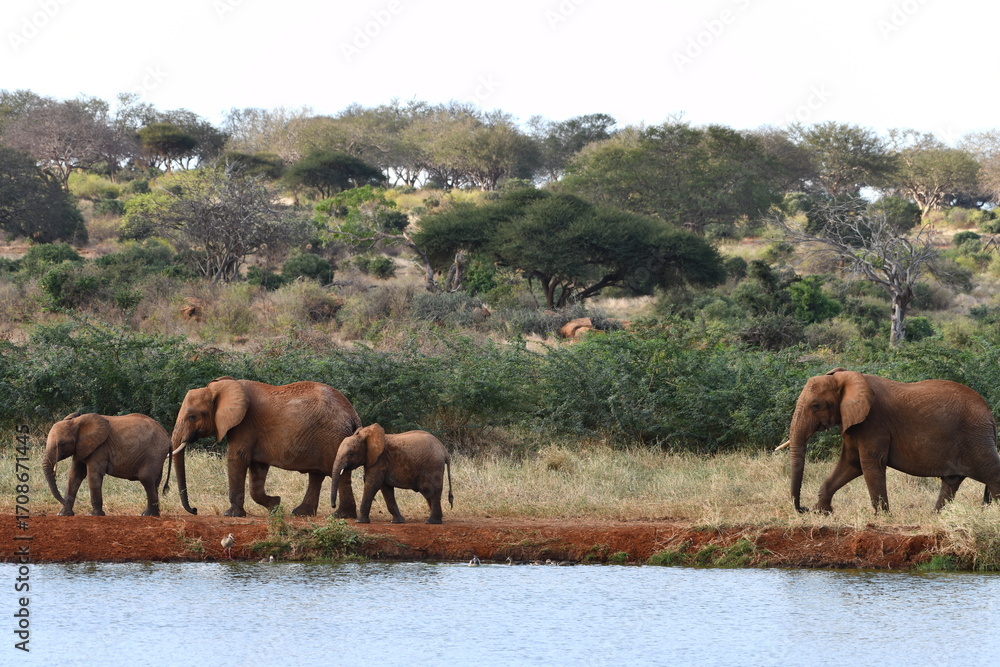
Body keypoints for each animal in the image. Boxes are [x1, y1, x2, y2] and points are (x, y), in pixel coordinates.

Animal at [43, 412, 172, 516]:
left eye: (61, 444)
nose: (64, 501)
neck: (76, 422)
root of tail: (167, 436)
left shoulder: (100, 447)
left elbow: (93, 475)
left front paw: (93, 515)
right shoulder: (81, 448)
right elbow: (74, 476)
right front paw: (63, 514)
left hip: (154, 453)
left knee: (147, 478)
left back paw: (147, 515)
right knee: (155, 482)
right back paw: (153, 514)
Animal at [170, 377, 362, 518]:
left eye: (192, 416)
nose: (194, 510)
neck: (221, 387)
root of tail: (353, 414)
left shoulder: (245, 424)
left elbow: (236, 458)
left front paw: (231, 514)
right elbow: (257, 469)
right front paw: (275, 505)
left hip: (334, 438)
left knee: (339, 474)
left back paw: (341, 516)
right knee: (316, 476)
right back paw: (301, 513)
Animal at [786, 368, 1000, 514]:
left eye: (815, 405)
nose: (802, 508)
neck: (846, 377)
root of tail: (989, 414)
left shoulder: (874, 423)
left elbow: (869, 464)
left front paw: (882, 517)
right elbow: (850, 464)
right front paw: (822, 512)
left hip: (976, 437)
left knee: (991, 474)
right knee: (951, 481)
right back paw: (935, 516)